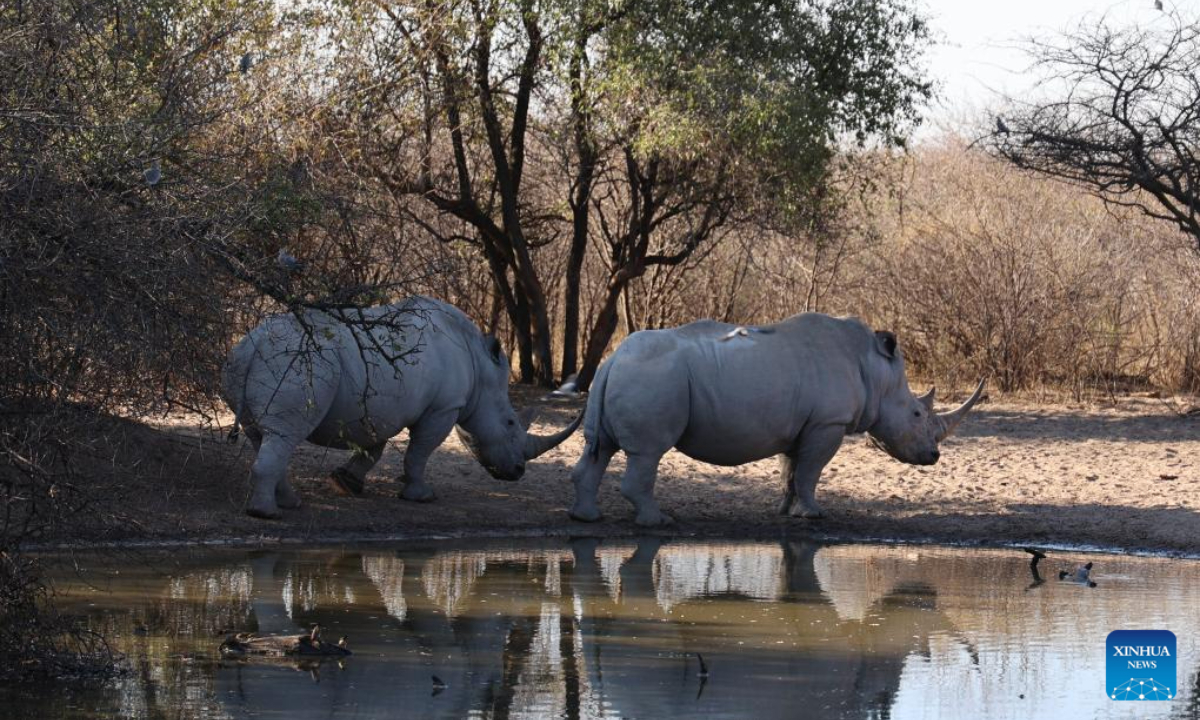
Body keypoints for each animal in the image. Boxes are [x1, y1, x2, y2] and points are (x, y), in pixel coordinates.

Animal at [225, 296, 585, 518]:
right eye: (510, 423)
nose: (517, 473)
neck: (480, 369)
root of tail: (253, 346)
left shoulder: (380, 405)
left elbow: (374, 447)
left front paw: (346, 482)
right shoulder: (443, 408)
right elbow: (419, 451)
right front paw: (422, 496)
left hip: (255, 362)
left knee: (264, 436)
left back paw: (289, 503)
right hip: (299, 365)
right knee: (283, 435)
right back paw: (267, 514)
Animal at [571, 312, 984, 525]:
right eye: (916, 413)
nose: (934, 456)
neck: (876, 371)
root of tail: (613, 360)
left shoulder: (804, 425)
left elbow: (792, 470)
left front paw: (787, 511)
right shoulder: (828, 423)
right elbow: (811, 471)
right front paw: (813, 514)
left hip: (624, 375)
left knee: (601, 447)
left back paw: (586, 518)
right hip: (652, 377)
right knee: (648, 452)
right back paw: (658, 521)